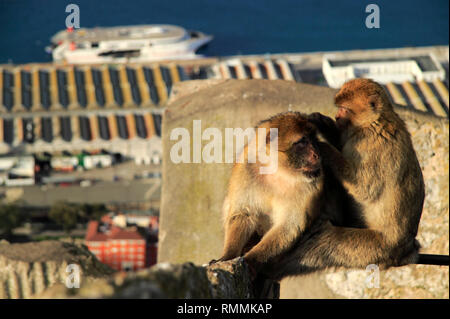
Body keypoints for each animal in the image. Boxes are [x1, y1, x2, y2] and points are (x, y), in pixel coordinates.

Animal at [211, 112, 342, 270]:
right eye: (302, 142)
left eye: (313, 139)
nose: (317, 154)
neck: (277, 170)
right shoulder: (246, 168)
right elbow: (243, 213)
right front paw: (228, 255)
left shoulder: (313, 181)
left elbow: (289, 226)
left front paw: (250, 258)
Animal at [266, 78, 428, 280]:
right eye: (339, 107)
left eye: (344, 108)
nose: (337, 116)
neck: (373, 121)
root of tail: (406, 251)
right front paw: (323, 123)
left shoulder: (371, 144)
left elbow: (365, 189)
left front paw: (324, 148)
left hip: (375, 249)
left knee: (324, 242)